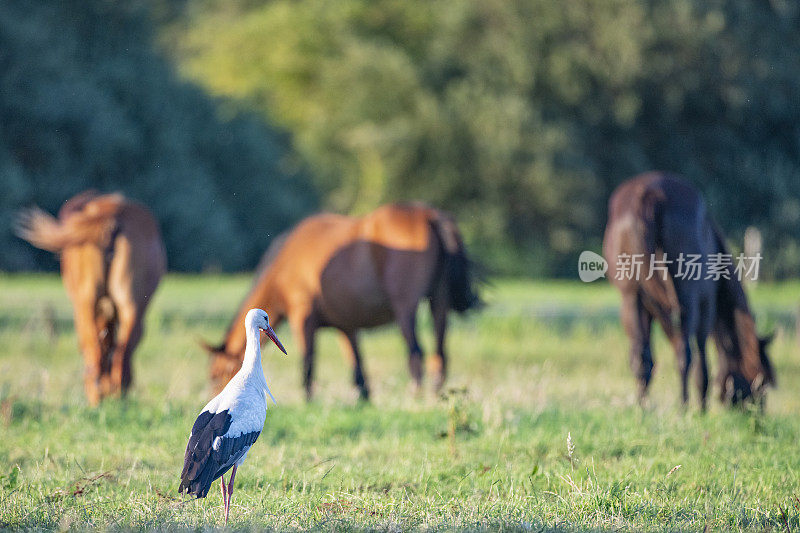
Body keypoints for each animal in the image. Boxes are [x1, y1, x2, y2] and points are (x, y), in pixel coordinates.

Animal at [17, 191, 166, 404]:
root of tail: (111, 214)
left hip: (86, 304)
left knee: (96, 355)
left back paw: (98, 399)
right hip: (130, 307)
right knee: (120, 355)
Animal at [206, 203, 482, 400]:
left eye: (218, 374)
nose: (217, 400)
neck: (284, 265)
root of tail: (427, 214)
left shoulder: (303, 318)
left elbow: (308, 361)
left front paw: (308, 399)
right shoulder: (346, 326)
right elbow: (357, 364)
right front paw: (364, 398)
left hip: (406, 307)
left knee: (416, 353)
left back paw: (415, 392)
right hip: (439, 303)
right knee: (440, 353)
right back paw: (436, 392)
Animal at [608, 171, 776, 408]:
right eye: (762, 383)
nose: (756, 413)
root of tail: (650, 195)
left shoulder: (647, 306)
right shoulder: (706, 306)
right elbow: (701, 358)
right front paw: (702, 407)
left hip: (631, 296)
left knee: (641, 357)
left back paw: (642, 408)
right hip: (686, 296)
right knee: (684, 354)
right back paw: (684, 406)